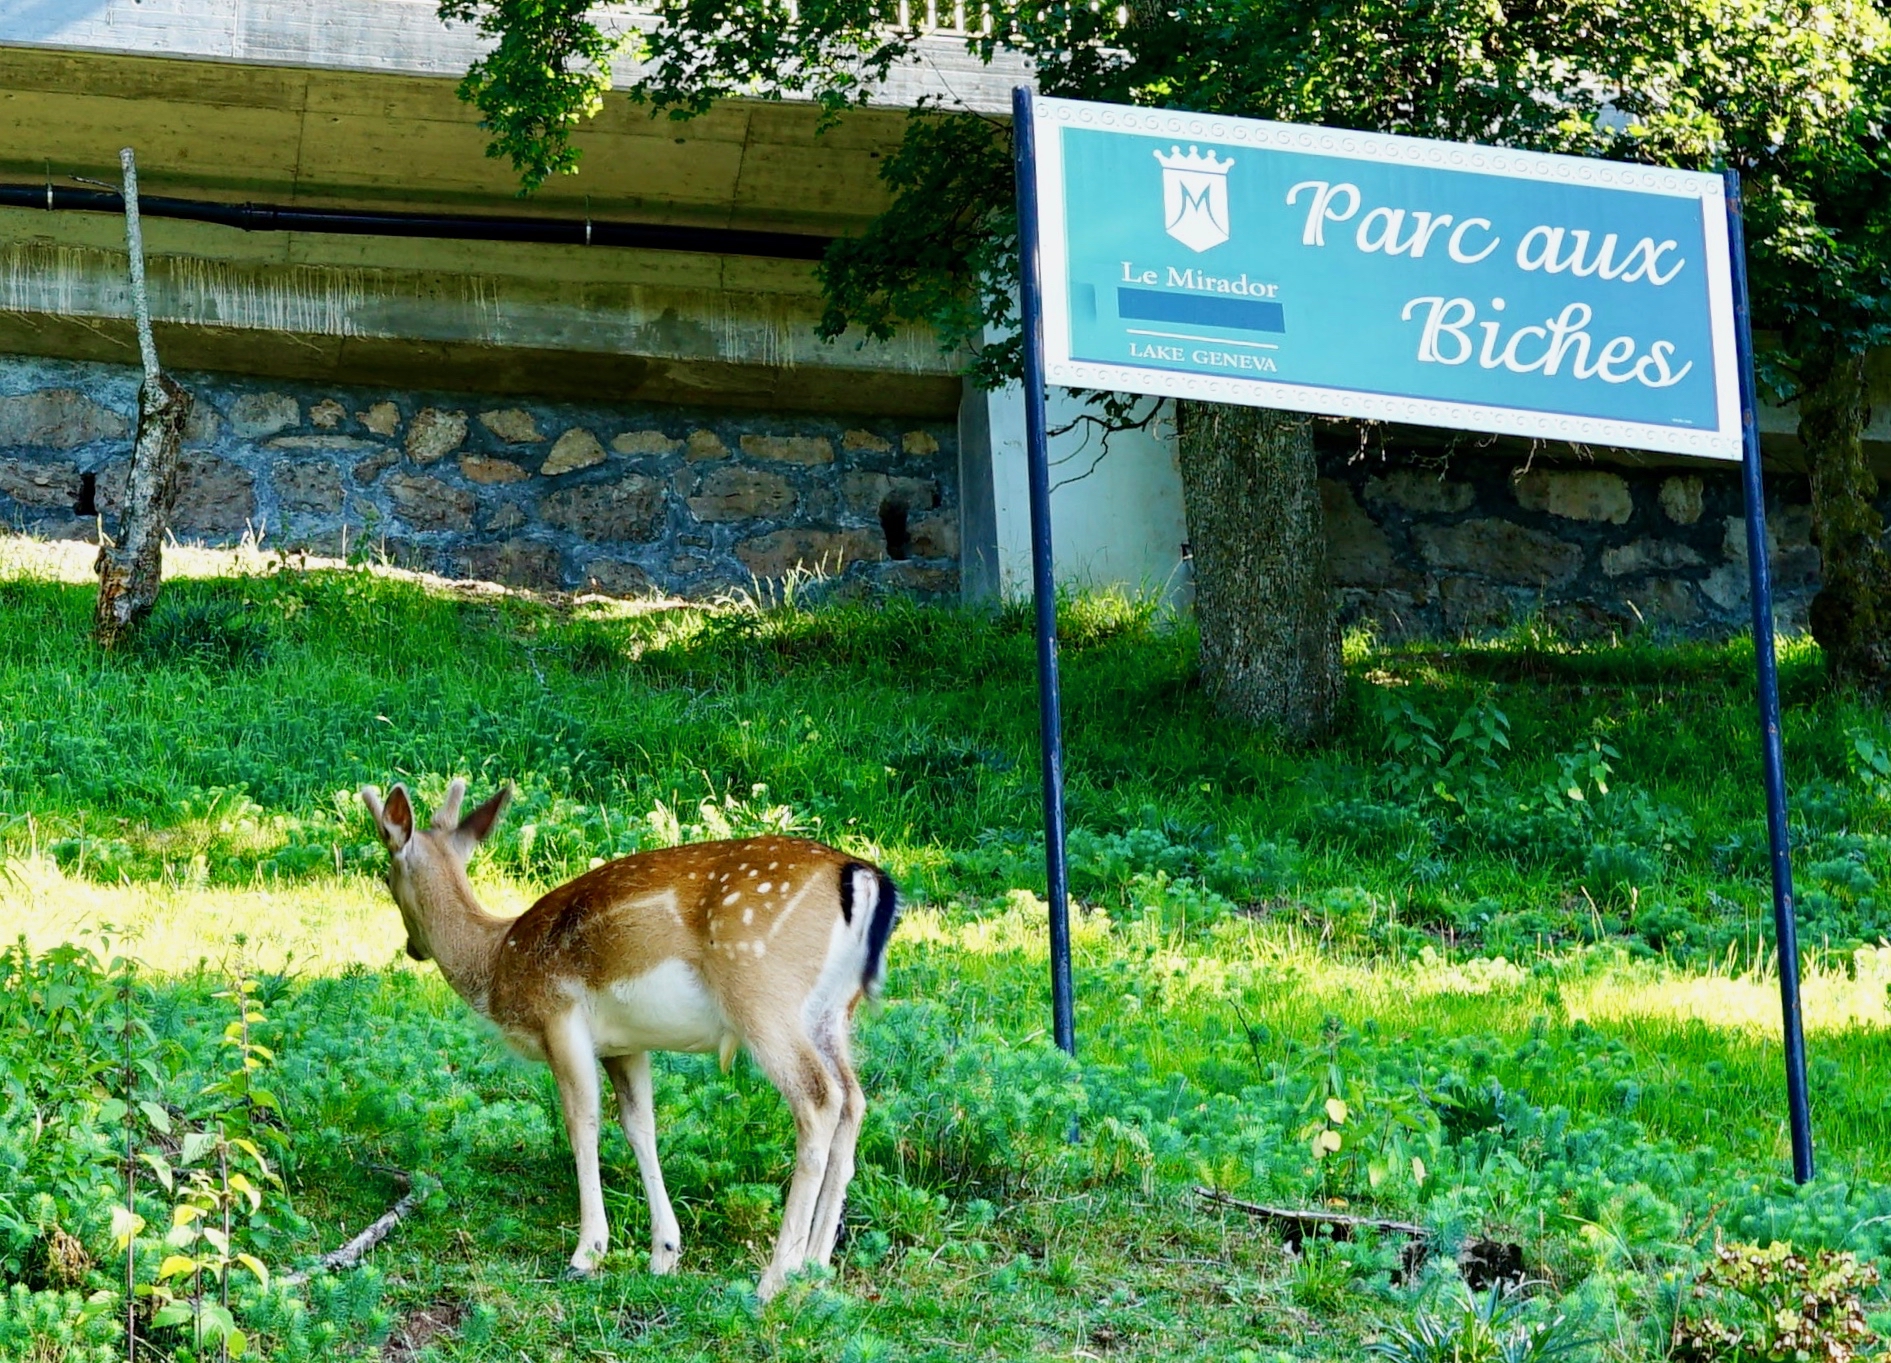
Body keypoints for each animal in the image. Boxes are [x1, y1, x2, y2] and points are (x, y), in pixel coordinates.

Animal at [363, 775, 907, 1300]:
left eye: (386, 877)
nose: (412, 947)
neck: (497, 958)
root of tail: (863, 876)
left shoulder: (560, 1018)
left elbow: (582, 1124)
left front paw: (587, 1253)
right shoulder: (624, 1045)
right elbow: (639, 1125)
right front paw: (665, 1252)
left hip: (763, 994)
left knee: (819, 1099)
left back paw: (775, 1278)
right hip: (833, 1013)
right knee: (854, 1099)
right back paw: (816, 1267)